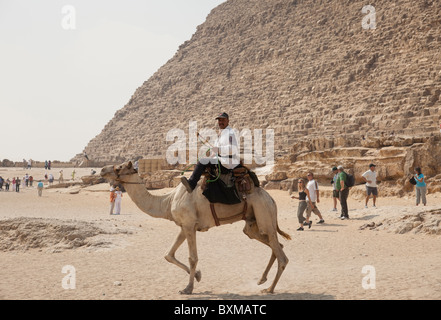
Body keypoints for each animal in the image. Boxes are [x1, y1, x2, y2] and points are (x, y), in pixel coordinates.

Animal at [101, 161, 290, 294]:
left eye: (119, 167)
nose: (102, 170)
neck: (167, 201)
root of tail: (271, 198)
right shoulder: (184, 226)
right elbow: (168, 254)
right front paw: (198, 275)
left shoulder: (189, 225)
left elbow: (192, 258)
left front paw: (188, 288)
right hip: (252, 223)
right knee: (274, 244)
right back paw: (262, 280)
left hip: (264, 212)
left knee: (281, 255)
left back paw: (270, 289)